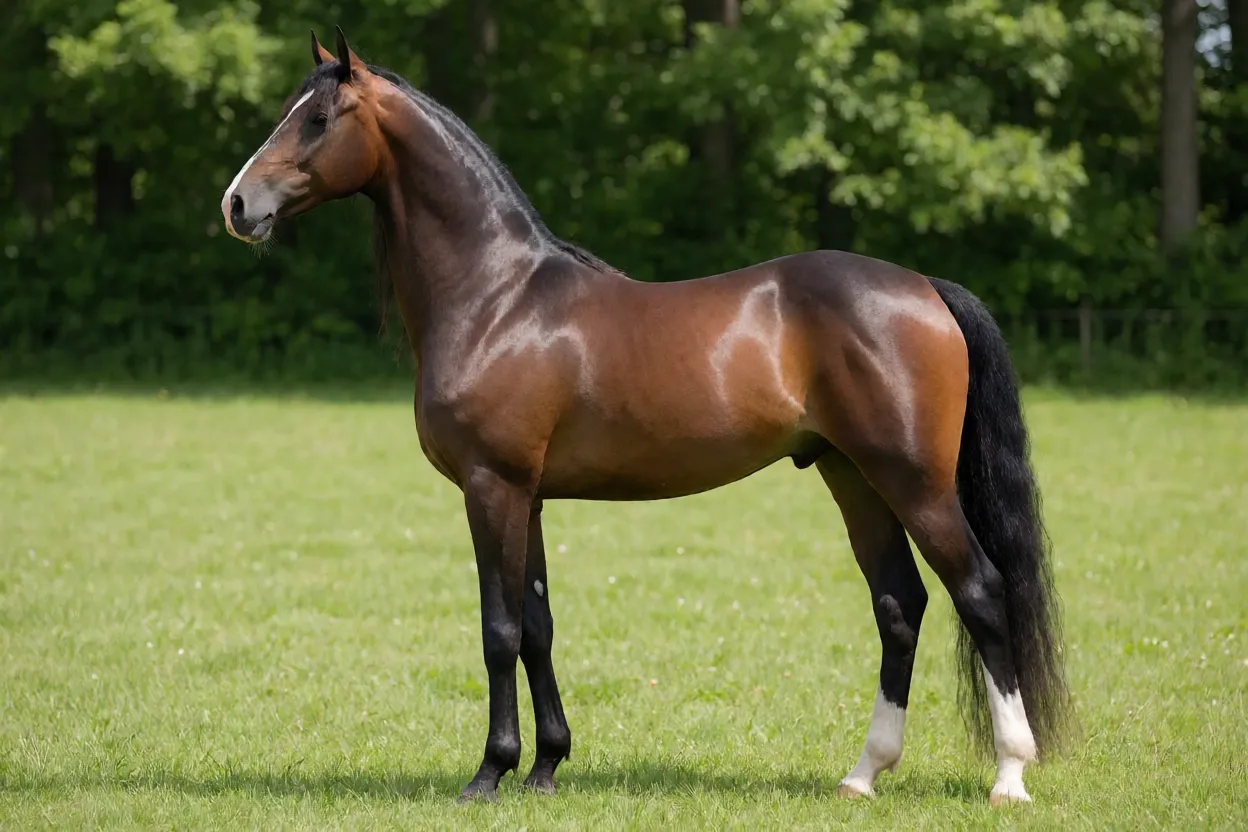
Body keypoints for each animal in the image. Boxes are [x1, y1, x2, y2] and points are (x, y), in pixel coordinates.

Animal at [220, 28, 1071, 806]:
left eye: (317, 119)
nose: (237, 204)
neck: (497, 297)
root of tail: (925, 287)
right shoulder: (529, 496)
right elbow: (537, 628)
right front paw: (546, 767)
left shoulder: (492, 487)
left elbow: (499, 632)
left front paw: (490, 773)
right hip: (852, 476)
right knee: (900, 605)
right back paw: (862, 775)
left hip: (914, 481)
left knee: (981, 593)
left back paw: (1008, 776)